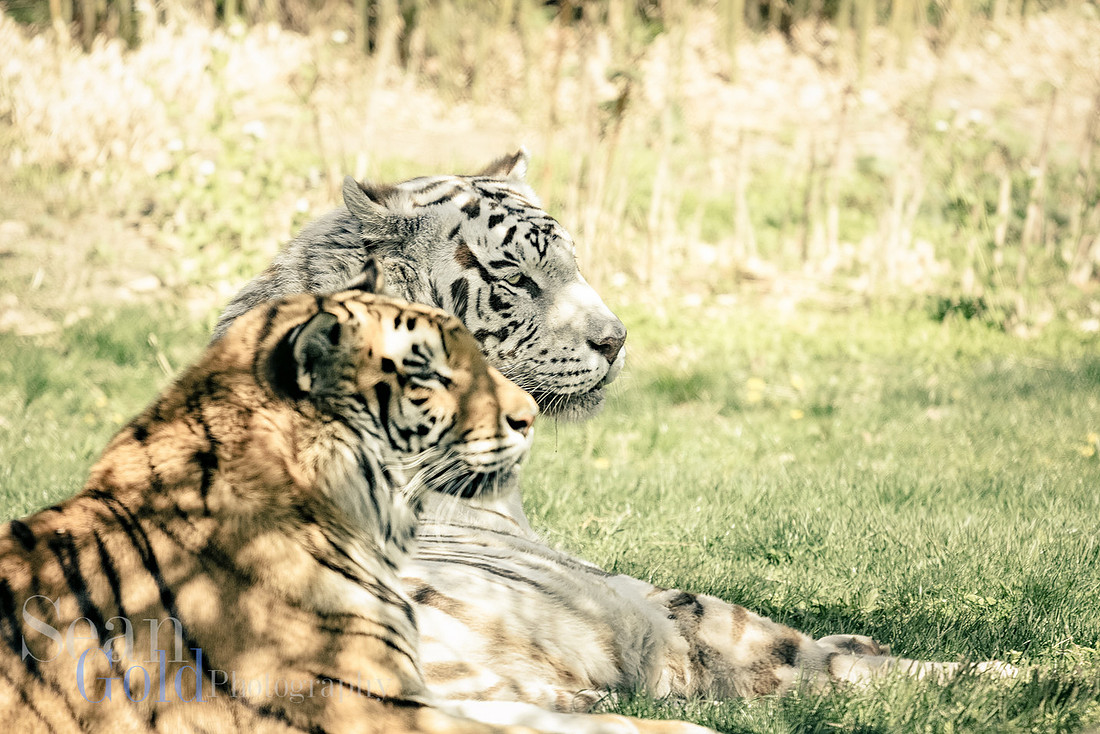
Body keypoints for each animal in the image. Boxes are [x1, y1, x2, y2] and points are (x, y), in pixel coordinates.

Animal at [213, 151, 1014, 713]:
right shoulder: (652, 613)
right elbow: (804, 651)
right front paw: (1009, 673)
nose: (617, 339)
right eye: (518, 279)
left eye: (575, 262)